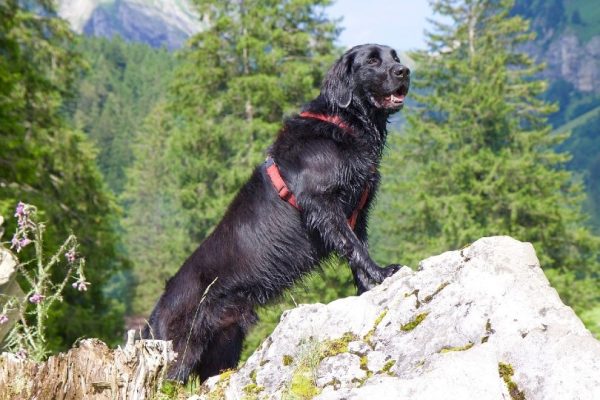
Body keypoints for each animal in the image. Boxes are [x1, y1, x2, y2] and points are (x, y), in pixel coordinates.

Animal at [144, 43, 410, 382]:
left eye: (395, 57)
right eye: (373, 61)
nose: (405, 71)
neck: (342, 123)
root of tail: (154, 314)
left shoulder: (357, 213)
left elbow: (357, 249)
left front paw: (367, 287)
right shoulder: (323, 204)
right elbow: (352, 246)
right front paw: (382, 273)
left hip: (224, 343)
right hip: (180, 356)